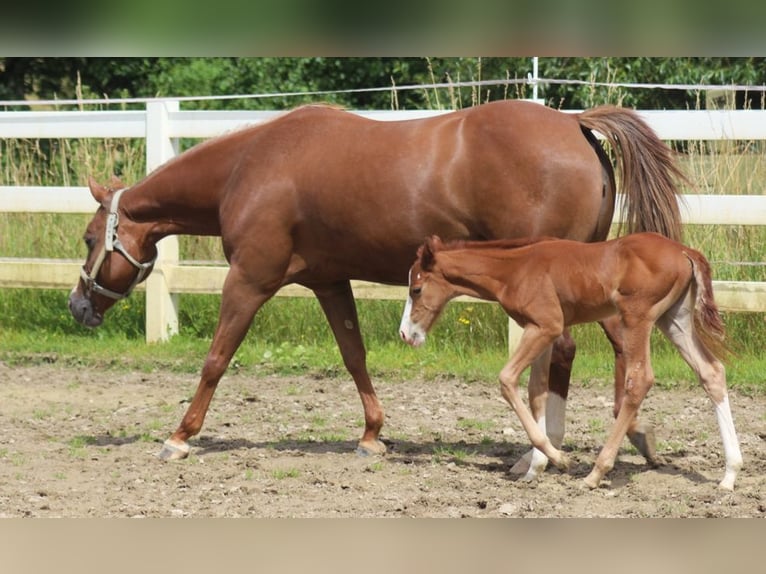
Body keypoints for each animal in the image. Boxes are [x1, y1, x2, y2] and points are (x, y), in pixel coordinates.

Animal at [402, 234, 744, 490]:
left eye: (416, 289)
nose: (407, 334)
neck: (516, 269)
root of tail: (685, 250)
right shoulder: (539, 330)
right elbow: (536, 391)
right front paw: (535, 468)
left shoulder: (547, 326)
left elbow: (507, 379)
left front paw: (558, 459)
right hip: (674, 319)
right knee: (711, 371)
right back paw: (729, 475)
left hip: (638, 317)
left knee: (640, 380)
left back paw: (595, 473)